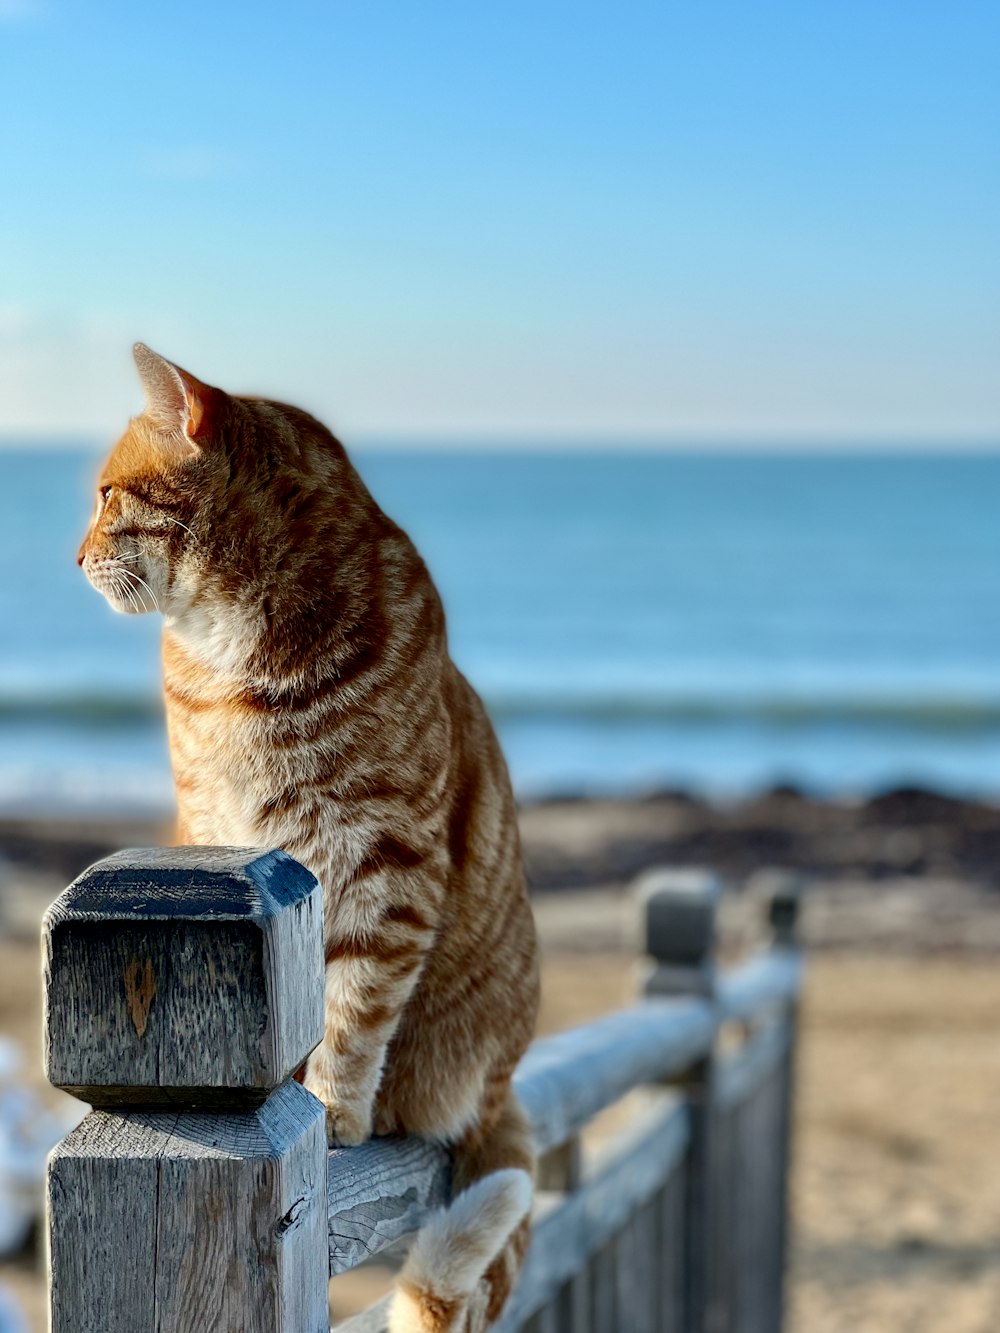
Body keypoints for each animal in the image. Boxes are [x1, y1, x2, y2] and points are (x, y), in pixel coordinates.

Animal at [77, 346, 541, 1333]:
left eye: (106, 495)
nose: (77, 554)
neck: (231, 658)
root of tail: (504, 1081)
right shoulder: (213, 833)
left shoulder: (385, 862)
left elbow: (354, 1008)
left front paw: (333, 1107)